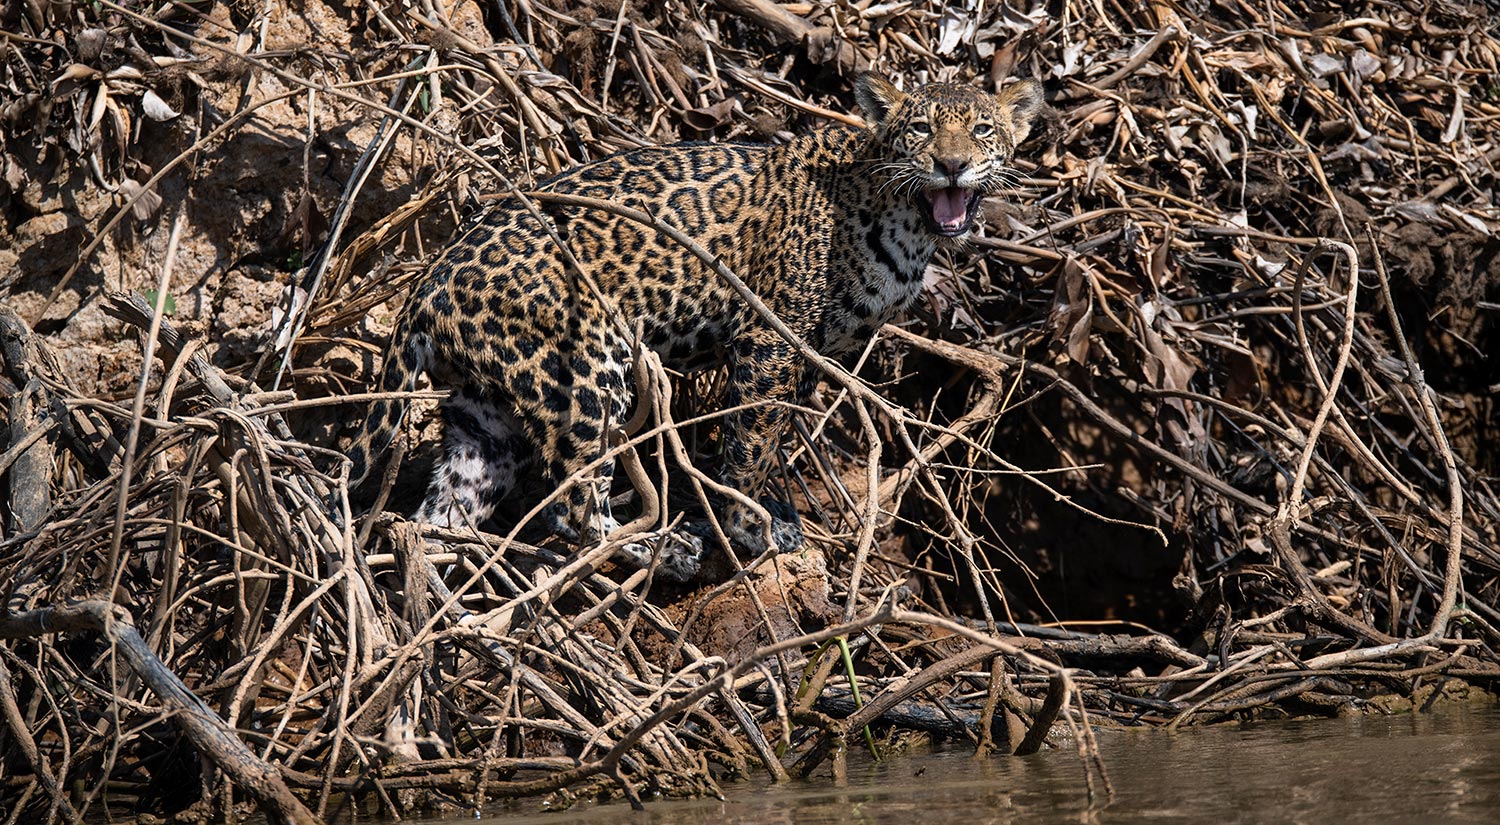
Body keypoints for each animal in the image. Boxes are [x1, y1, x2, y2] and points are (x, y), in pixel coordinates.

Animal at [346, 72, 1044, 581]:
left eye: (982, 130)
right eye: (922, 130)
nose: (952, 165)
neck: (905, 226)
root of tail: (430, 280)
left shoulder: (817, 351)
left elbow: (777, 437)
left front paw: (775, 509)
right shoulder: (770, 339)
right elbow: (753, 441)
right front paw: (747, 526)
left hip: (485, 410)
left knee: (447, 505)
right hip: (582, 370)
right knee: (573, 506)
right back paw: (666, 549)